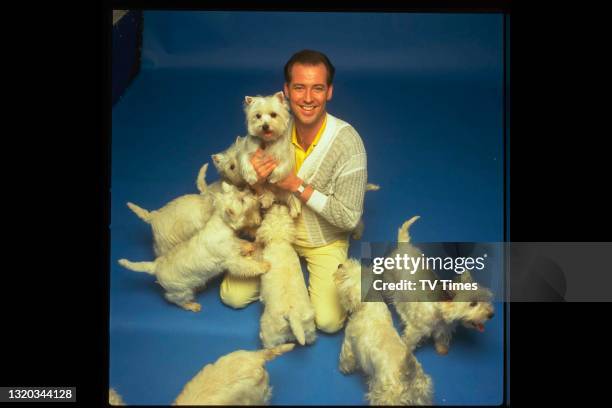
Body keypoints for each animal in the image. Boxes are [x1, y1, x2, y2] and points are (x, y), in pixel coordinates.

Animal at [119, 182, 270, 312]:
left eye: (239, 191)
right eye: (242, 200)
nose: (252, 190)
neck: (221, 224)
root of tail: (155, 266)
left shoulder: (233, 242)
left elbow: (240, 243)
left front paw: (249, 245)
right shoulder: (232, 262)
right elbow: (247, 265)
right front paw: (264, 265)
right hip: (181, 291)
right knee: (172, 298)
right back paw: (191, 305)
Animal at [256, 204, 318, 348]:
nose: (278, 203)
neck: (279, 240)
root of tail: (292, 315)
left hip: (268, 330)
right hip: (308, 326)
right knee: (310, 337)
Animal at [334, 258, 436, 404]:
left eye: (344, 276)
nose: (340, 265)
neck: (369, 304)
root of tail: (409, 377)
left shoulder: (348, 342)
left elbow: (346, 358)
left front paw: (344, 369)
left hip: (383, 397)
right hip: (422, 398)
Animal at [390, 217, 494, 354]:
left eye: (485, 299)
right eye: (472, 304)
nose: (491, 314)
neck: (439, 311)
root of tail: (405, 246)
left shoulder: (443, 328)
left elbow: (442, 338)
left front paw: (442, 348)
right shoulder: (415, 330)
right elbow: (409, 342)